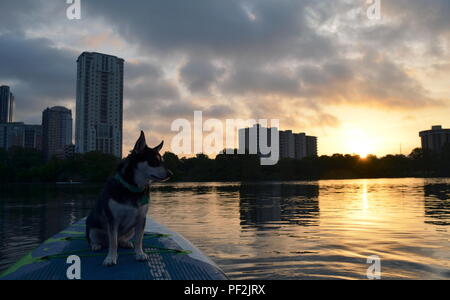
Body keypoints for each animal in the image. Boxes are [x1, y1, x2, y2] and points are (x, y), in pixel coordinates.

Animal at [86, 130, 172, 266]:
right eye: (153, 161)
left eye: (162, 161)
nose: (170, 174)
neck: (133, 188)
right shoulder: (113, 220)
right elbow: (113, 241)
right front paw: (111, 257)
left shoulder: (141, 218)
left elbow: (138, 239)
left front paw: (139, 253)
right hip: (91, 226)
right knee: (97, 239)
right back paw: (96, 245)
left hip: (130, 229)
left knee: (120, 239)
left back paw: (125, 242)